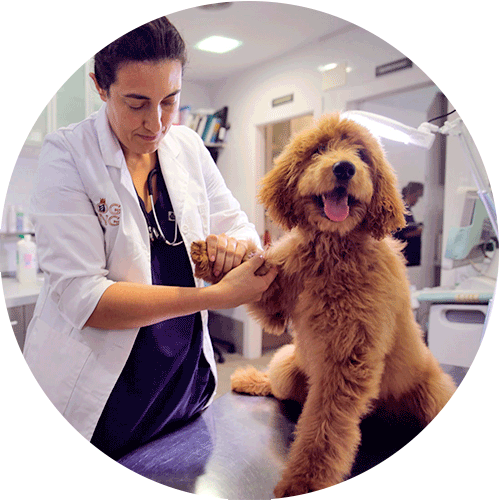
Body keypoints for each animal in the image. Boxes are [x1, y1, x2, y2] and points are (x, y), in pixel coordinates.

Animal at [190, 113, 458, 496]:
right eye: (318, 150)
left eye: (361, 154)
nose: (345, 168)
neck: (333, 250)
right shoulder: (277, 296)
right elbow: (254, 270)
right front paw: (214, 254)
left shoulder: (348, 360)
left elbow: (325, 428)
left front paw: (304, 482)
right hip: (288, 365)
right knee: (278, 386)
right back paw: (251, 379)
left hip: (433, 392)